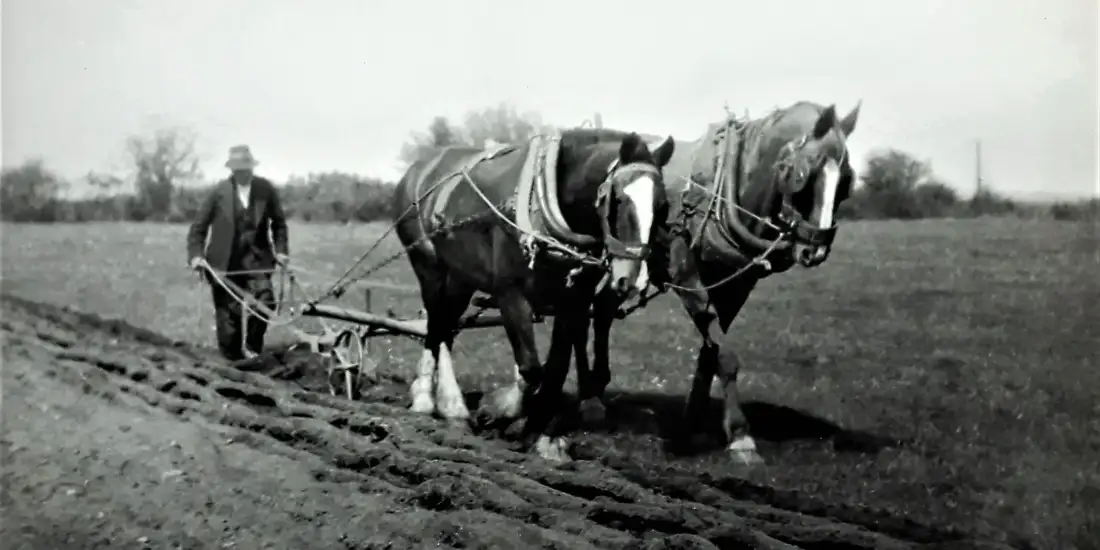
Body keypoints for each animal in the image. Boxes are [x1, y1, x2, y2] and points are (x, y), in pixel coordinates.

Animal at [392, 128, 675, 461]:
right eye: (617, 199)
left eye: (663, 206)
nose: (632, 280)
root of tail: (418, 170)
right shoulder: (509, 293)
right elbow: (530, 368)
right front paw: (502, 410)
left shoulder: (573, 300)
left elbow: (555, 370)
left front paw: (542, 435)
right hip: (429, 267)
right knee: (436, 326)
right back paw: (429, 398)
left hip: (461, 277)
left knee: (446, 326)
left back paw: (451, 404)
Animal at [567, 101, 860, 465]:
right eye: (801, 175)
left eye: (847, 180)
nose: (814, 249)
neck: (727, 193)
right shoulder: (688, 276)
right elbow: (725, 355)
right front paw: (741, 436)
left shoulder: (735, 287)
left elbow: (711, 351)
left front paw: (691, 424)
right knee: (580, 313)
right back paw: (588, 398)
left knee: (603, 308)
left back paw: (598, 385)